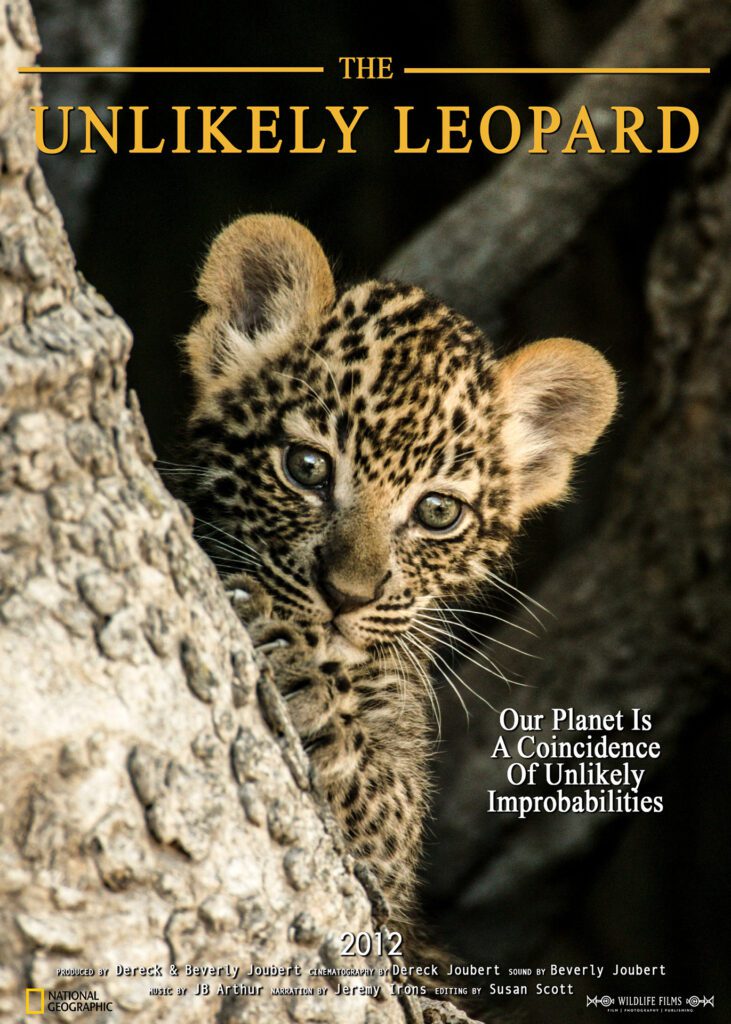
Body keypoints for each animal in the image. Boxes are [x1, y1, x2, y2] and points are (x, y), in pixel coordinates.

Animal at [175, 213, 617, 940]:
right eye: (306, 467)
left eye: (437, 511)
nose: (344, 596)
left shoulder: (390, 863)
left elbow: (381, 799)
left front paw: (298, 676)